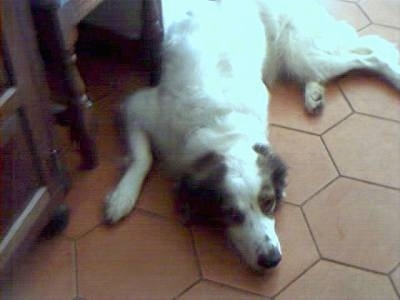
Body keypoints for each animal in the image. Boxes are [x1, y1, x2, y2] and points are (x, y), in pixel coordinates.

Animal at [104, 0, 400, 272]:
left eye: (268, 203)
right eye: (231, 214)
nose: (271, 260)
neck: (221, 127)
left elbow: (143, 157)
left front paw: (120, 198)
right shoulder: (137, 108)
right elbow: (143, 158)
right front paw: (122, 198)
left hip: (304, 52)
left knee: (372, 52)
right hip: (304, 58)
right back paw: (313, 94)